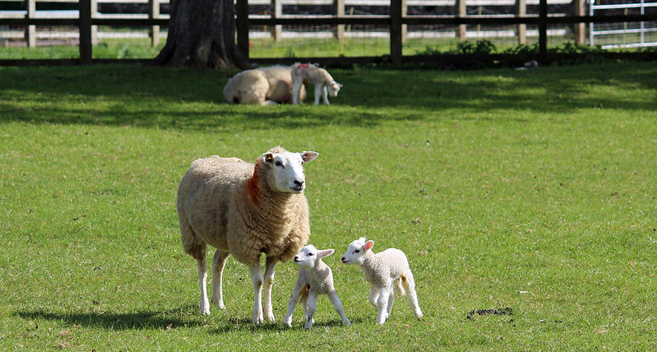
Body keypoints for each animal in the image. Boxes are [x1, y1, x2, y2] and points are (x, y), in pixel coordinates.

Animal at [174, 146, 318, 324]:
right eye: (278, 163)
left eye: (301, 162)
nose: (299, 182)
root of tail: (204, 159)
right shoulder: (249, 247)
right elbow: (258, 282)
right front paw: (257, 316)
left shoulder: (276, 249)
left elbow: (269, 280)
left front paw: (269, 314)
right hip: (191, 232)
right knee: (203, 270)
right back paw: (205, 306)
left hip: (226, 237)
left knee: (217, 263)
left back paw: (218, 302)